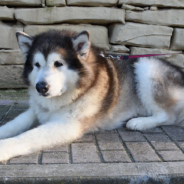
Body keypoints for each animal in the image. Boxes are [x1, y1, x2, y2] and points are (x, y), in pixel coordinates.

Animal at [0, 29, 184, 161]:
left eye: (58, 64)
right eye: (37, 65)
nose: (40, 87)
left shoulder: (68, 124)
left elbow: (27, 137)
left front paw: (4, 149)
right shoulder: (37, 110)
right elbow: (13, 125)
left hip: (146, 67)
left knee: (168, 115)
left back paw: (140, 122)